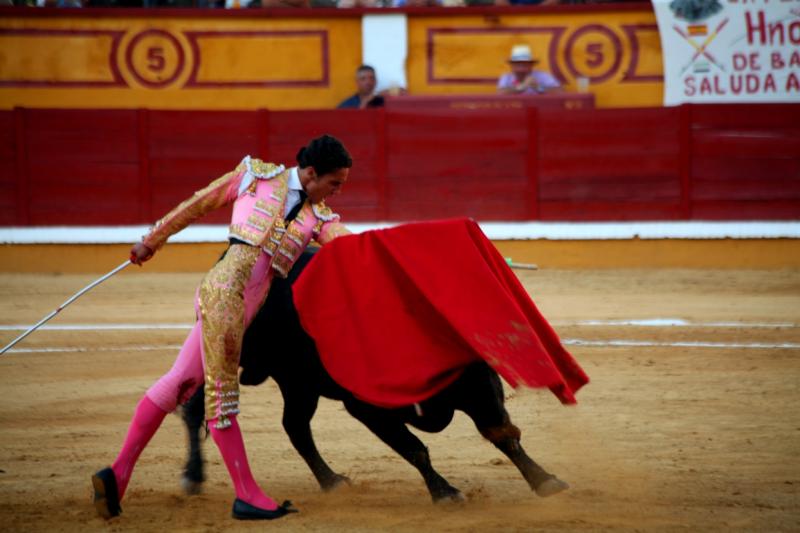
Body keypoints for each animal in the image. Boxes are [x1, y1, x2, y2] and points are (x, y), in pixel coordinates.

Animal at [181, 251, 568, 500]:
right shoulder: (367, 408)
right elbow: (415, 448)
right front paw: (444, 492)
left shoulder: (478, 390)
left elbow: (505, 437)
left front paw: (544, 481)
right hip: (222, 354)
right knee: (194, 407)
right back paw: (192, 476)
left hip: (299, 382)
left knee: (295, 425)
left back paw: (331, 481)